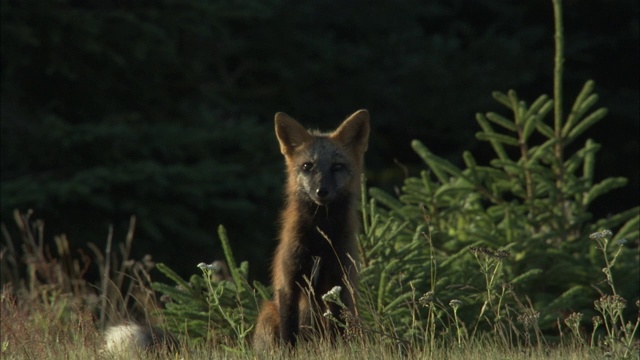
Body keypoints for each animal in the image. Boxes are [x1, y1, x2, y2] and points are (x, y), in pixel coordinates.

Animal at [251, 108, 368, 350]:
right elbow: (289, 335)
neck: (320, 244)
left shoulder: (341, 283)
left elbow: (338, 332)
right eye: (307, 166)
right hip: (267, 313)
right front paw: (289, 353)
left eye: (337, 166)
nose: (321, 191)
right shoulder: (288, 283)